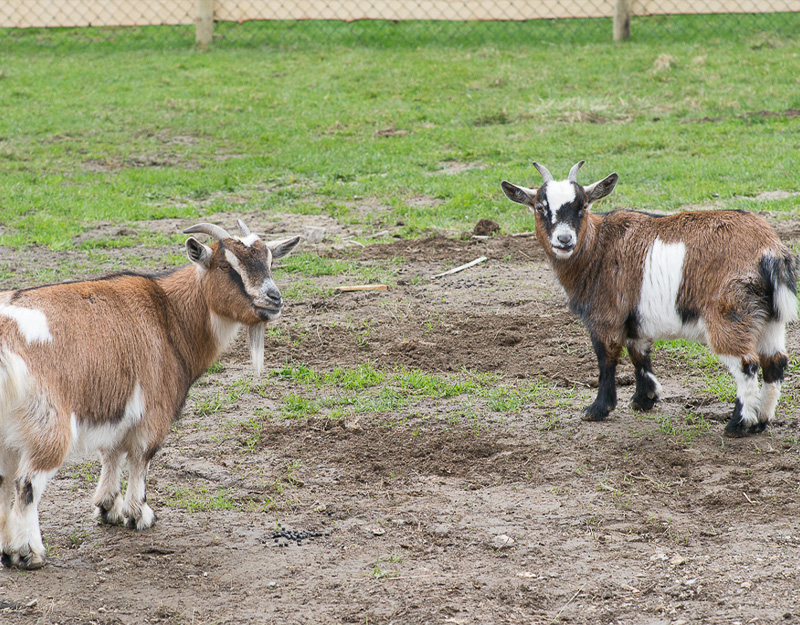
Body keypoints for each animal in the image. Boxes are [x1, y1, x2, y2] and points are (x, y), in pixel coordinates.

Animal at [0, 220, 300, 569]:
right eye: (226, 266)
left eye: (269, 262)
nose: (273, 298)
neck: (168, 315)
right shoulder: (154, 409)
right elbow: (141, 456)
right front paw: (139, 514)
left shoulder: (118, 405)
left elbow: (112, 451)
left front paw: (109, 508)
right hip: (47, 423)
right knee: (27, 482)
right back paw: (28, 552)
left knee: (4, 480)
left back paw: (7, 549)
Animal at [501, 161, 797, 437]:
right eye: (540, 208)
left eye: (583, 206)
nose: (564, 239)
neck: (598, 248)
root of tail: (769, 249)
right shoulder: (635, 318)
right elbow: (639, 352)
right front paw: (644, 399)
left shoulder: (605, 316)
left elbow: (607, 358)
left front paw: (598, 409)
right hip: (769, 318)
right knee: (775, 362)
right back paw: (761, 421)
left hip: (729, 313)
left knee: (746, 364)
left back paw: (738, 424)